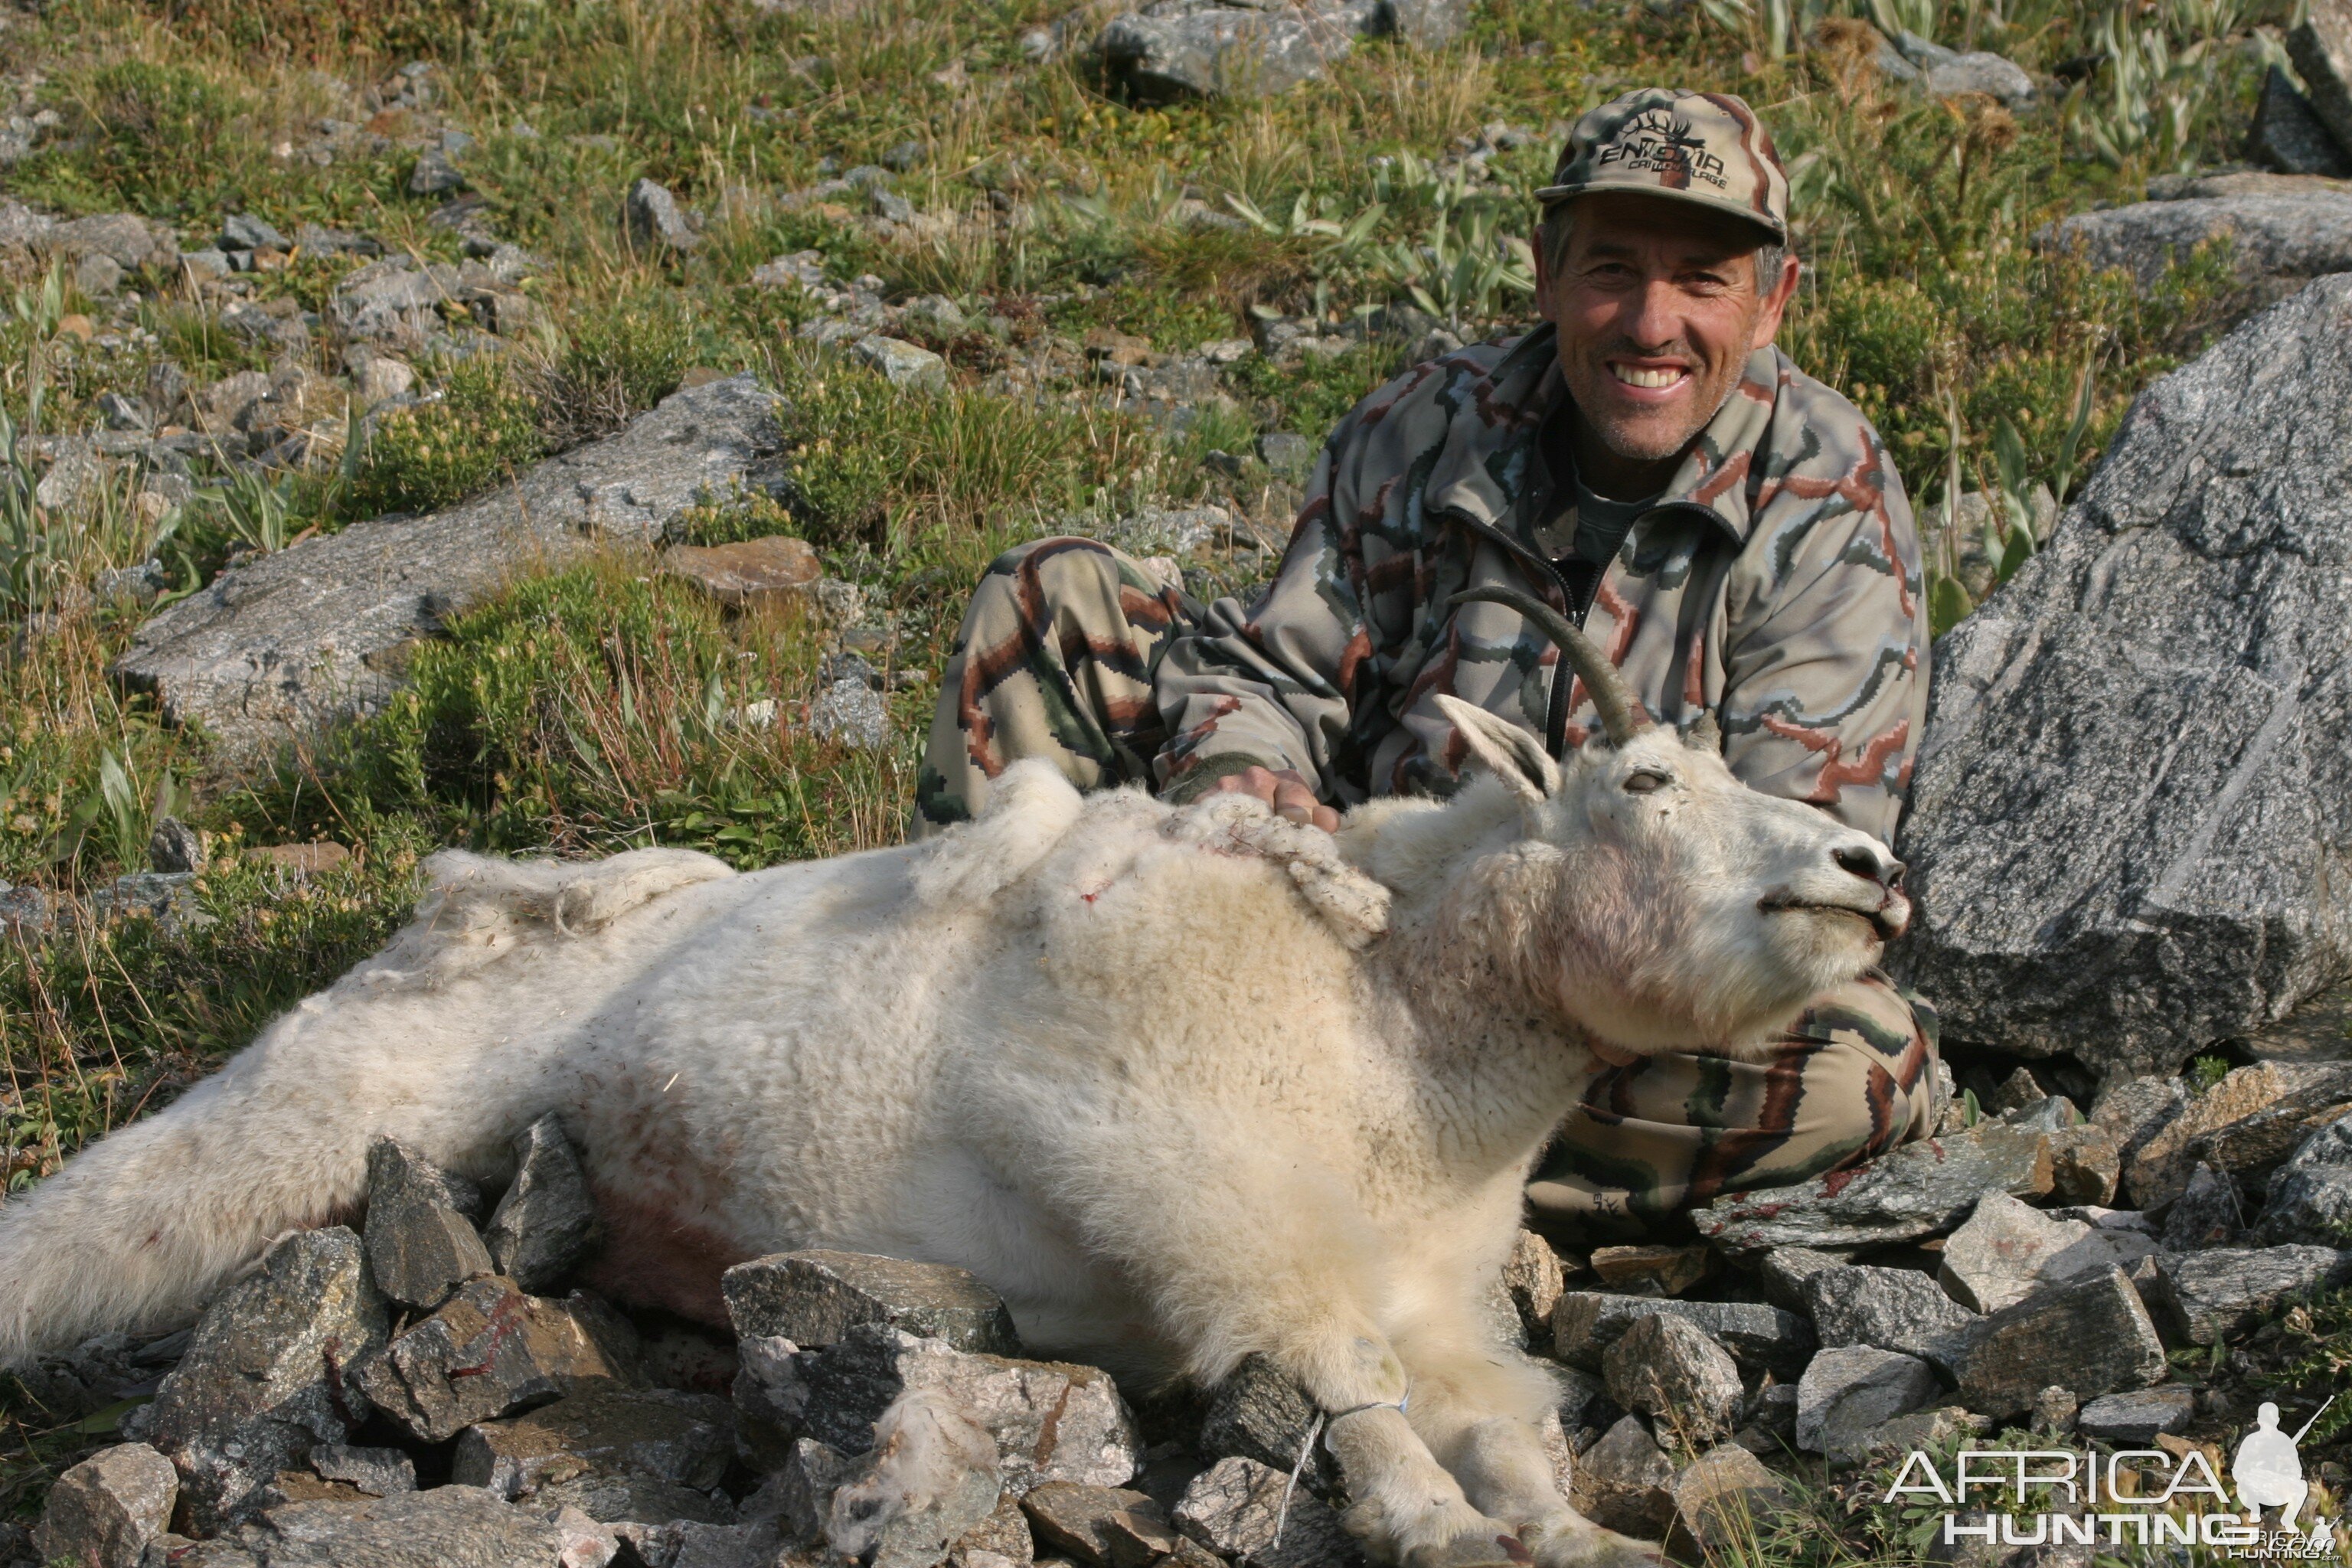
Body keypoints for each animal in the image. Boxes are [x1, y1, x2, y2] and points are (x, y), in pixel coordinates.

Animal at [0, 587, 1909, 1568]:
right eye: (1648, 780)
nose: (1871, 870)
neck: (1396, 1032)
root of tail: (462, 897)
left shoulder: (1441, 1282)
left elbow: (1507, 1420)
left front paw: (1567, 1533)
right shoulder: (1184, 1181)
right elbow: (1340, 1375)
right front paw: (1429, 1525)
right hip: (328, 1097)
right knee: (120, 1213)